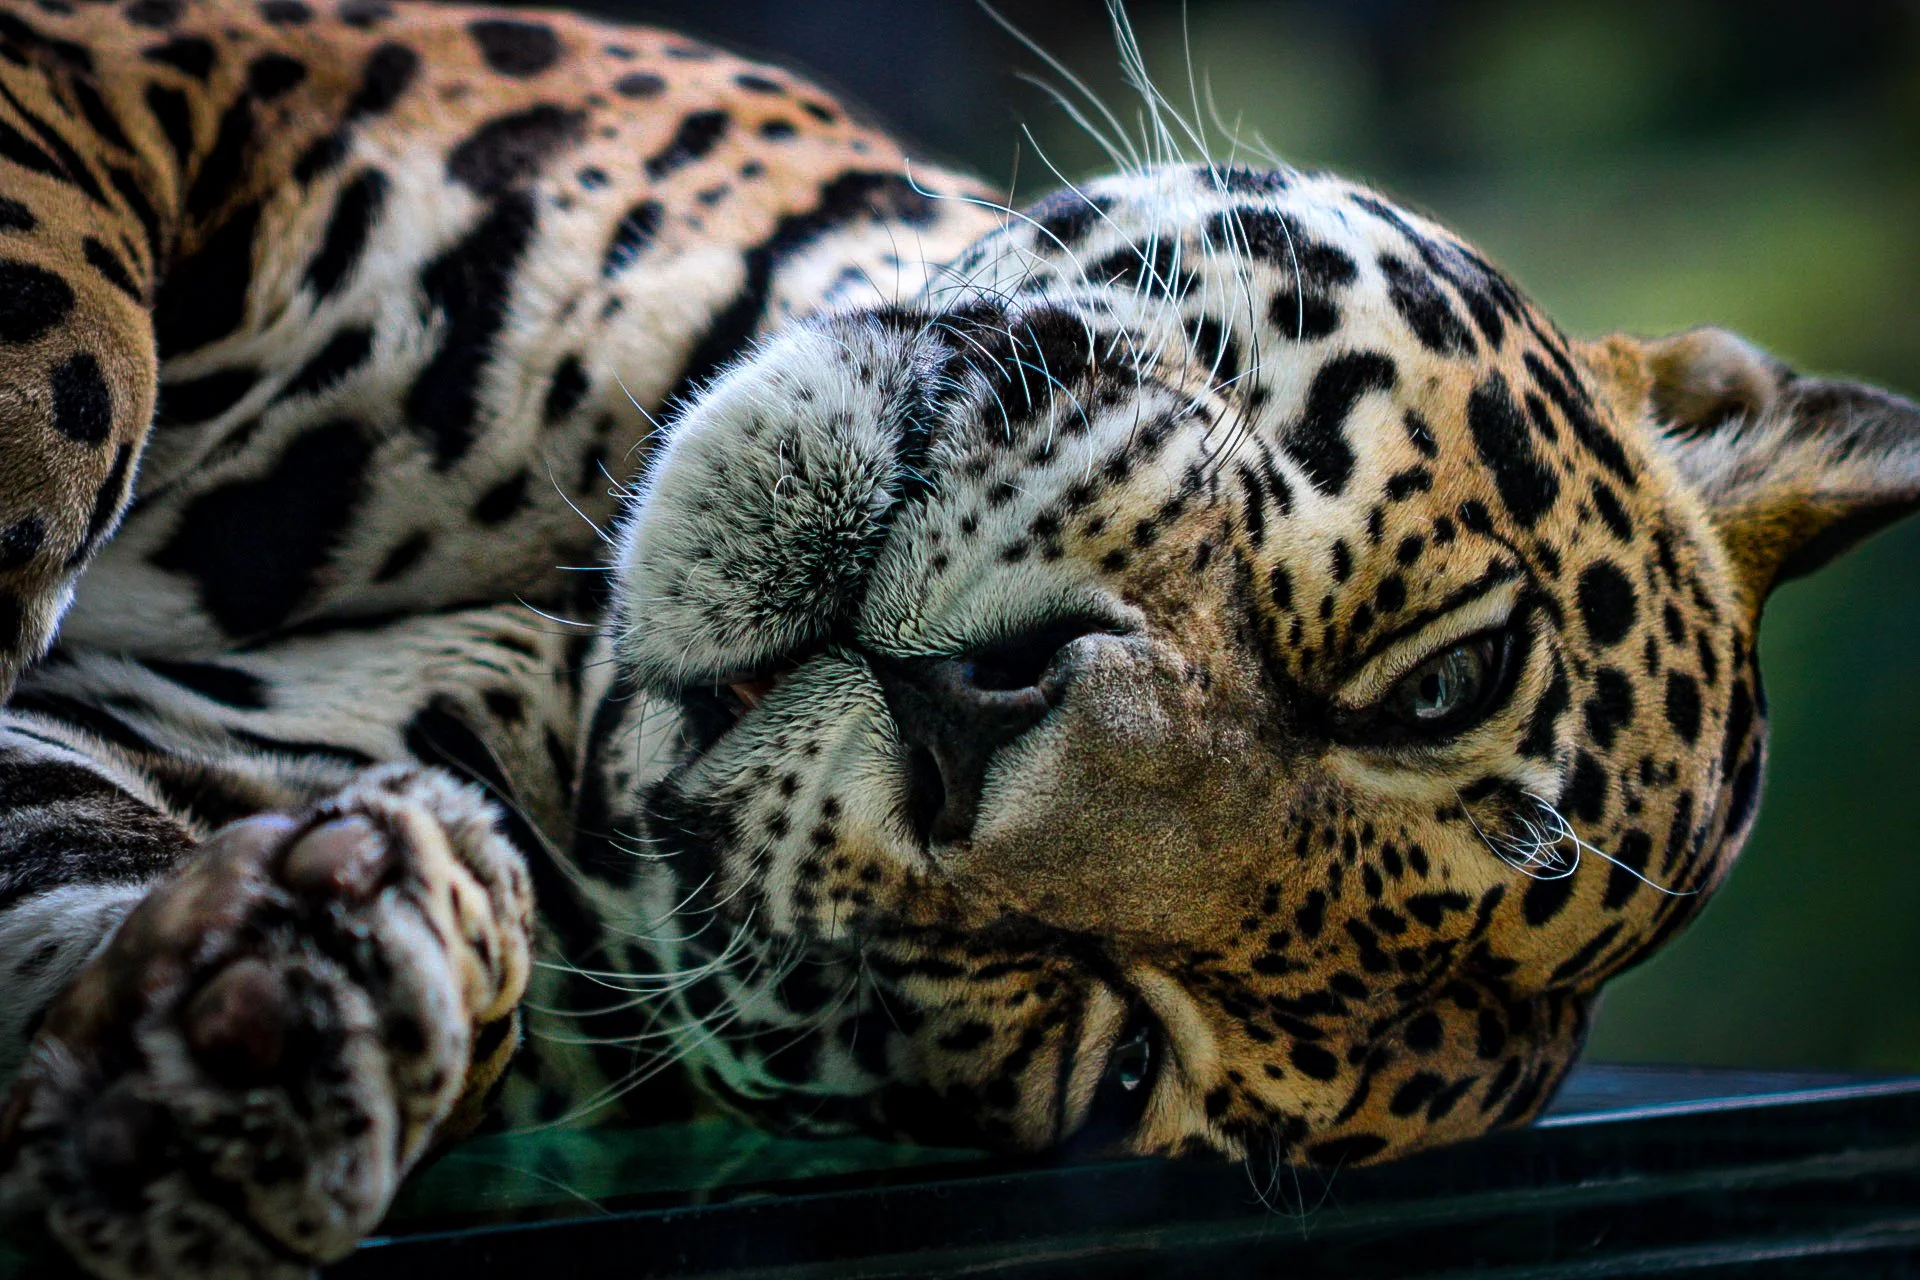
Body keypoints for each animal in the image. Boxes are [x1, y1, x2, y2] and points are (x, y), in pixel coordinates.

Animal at [0, 0, 1904, 1276]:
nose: (964, 714)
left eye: (1117, 1057)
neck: (561, 552)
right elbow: (62, 351)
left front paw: (267, 1035)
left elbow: (62, 845)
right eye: (1439, 685)